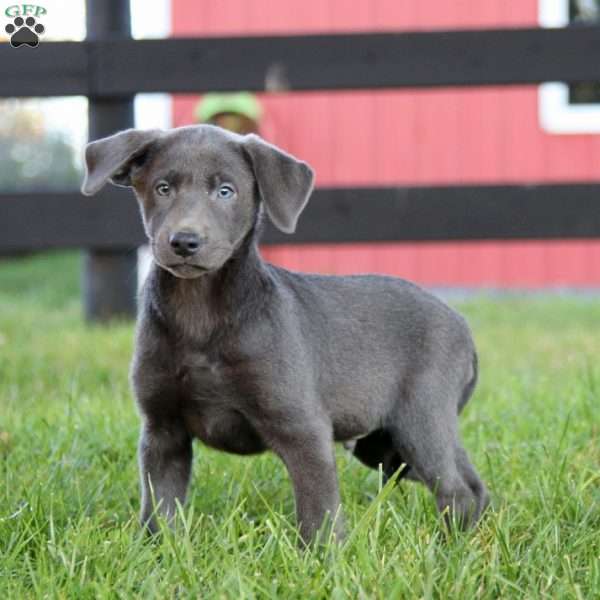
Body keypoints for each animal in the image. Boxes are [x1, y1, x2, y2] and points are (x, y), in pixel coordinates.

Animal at [81, 125, 488, 544]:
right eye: (163, 188)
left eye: (225, 191)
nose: (184, 242)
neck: (200, 315)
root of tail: (461, 325)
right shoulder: (163, 432)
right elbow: (160, 508)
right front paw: (163, 551)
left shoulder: (303, 429)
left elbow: (318, 513)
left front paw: (323, 558)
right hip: (385, 442)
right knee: (472, 483)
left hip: (419, 419)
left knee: (456, 490)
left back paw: (452, 546)